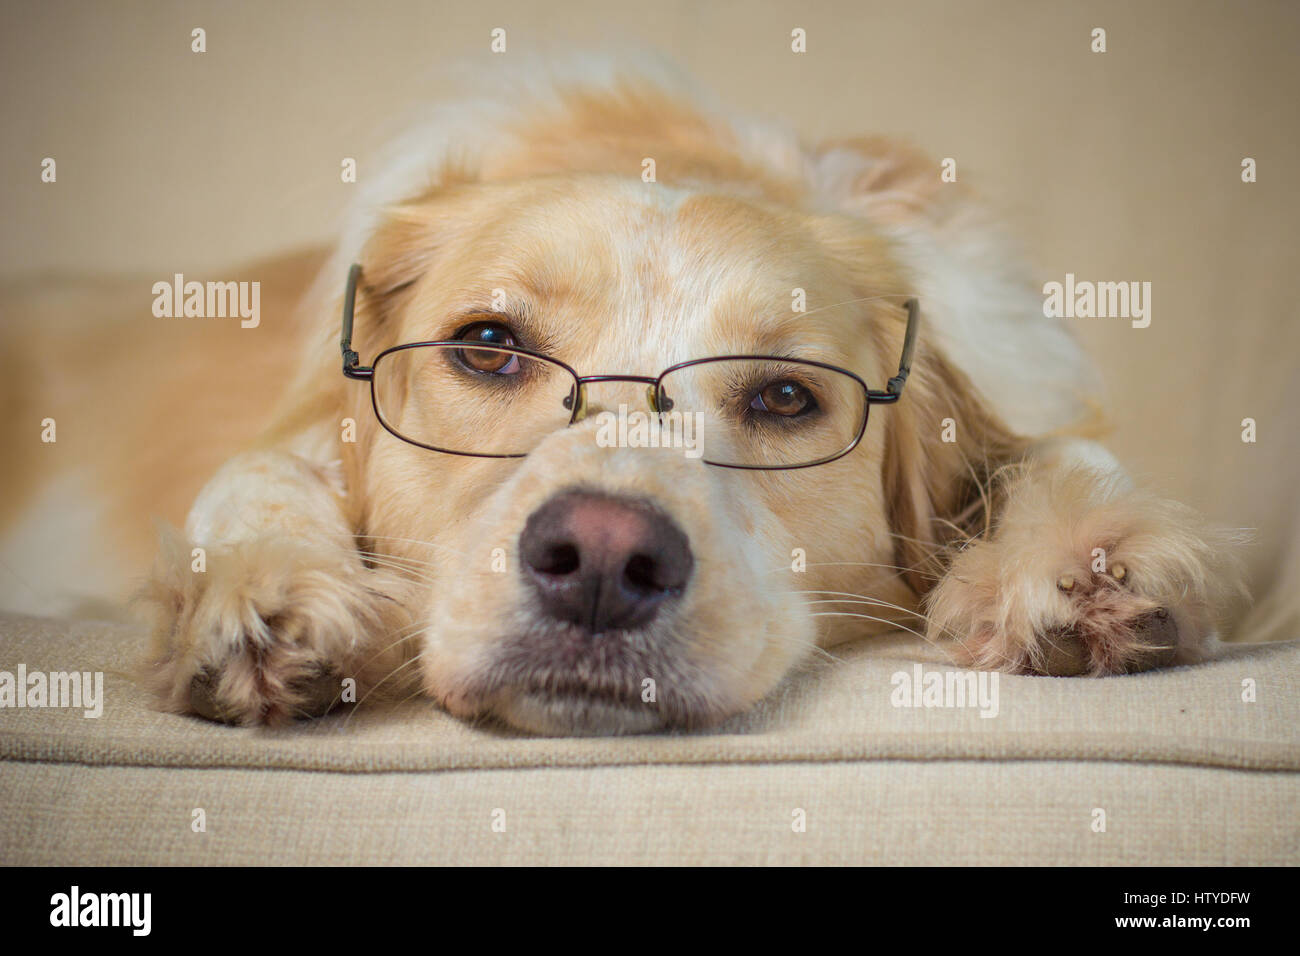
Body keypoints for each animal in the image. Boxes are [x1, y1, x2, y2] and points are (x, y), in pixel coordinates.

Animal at [5, 67, 1242, 738]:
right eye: (488, 347)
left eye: (785, 394)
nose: (601, 558)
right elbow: (263, 465)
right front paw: (262, 589)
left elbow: (1054, 453)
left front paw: (1082, 556)